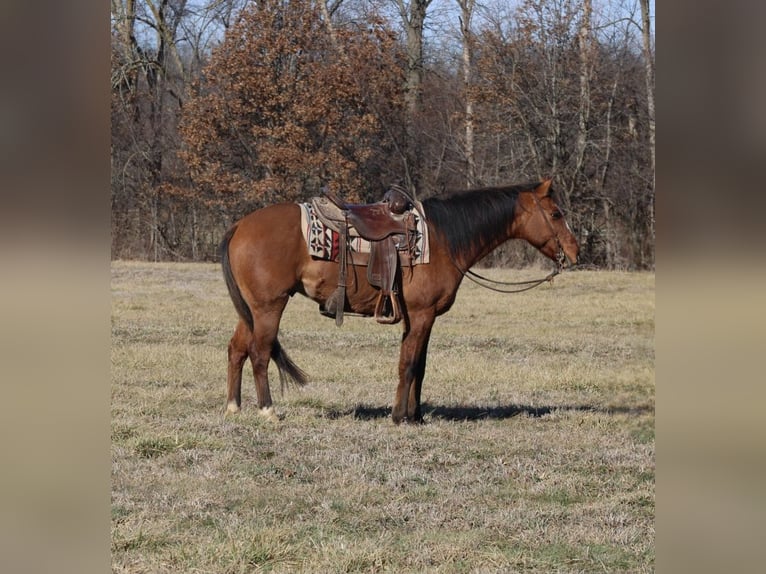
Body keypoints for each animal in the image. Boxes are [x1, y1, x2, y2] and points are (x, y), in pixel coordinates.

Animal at [220, 179, 579, 424]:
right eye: (556, 213)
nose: (575, 252)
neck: (443, 239)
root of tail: (240, 224)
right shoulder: (422, 314)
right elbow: (408, 364)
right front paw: (399, 416)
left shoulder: (419, 318)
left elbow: (420, 364)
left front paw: (416, 415)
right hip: (269, 307)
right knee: (259, 353)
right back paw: (267, 410)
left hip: (250, 309)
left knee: (237, 349)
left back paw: (234, 406)